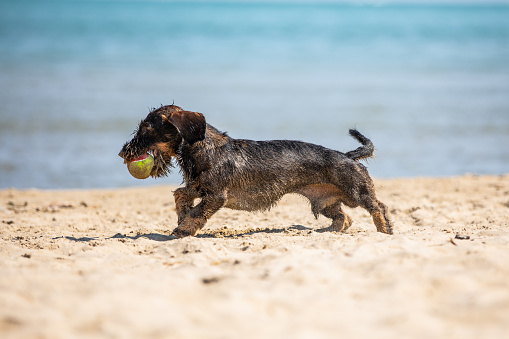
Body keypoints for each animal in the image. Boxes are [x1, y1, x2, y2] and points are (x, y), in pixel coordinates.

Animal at [119, 105, 392, 239]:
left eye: (146, 128)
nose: (123, 153)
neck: (205, 147)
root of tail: (348, 156)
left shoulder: (215, 196)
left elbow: (197, 212)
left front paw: (184, 230)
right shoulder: (198, 187)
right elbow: (181, 196)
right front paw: (182, 218)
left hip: (357, 192)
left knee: (378, 207)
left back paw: (385, 230)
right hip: (326, 202)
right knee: (344, 217)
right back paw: (329, 231)